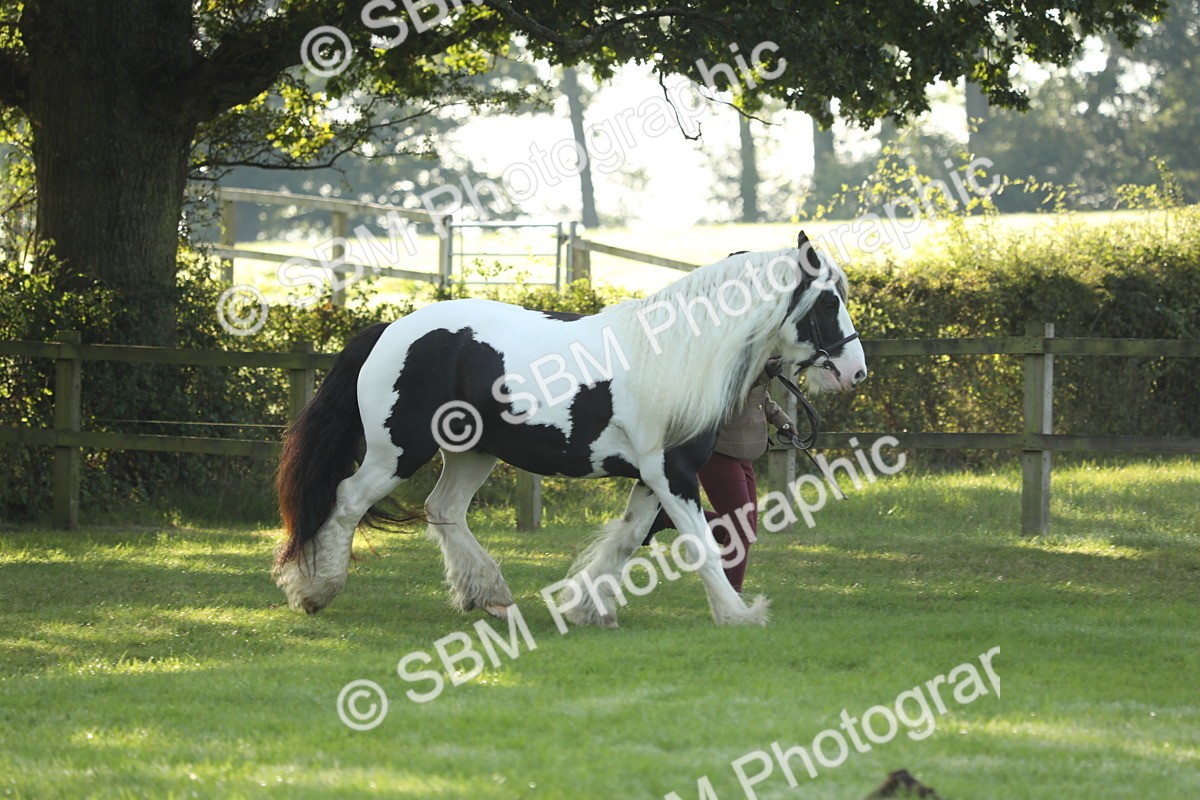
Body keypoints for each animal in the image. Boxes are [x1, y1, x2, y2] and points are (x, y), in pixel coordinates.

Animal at [273, 231, 867, 627]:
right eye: (828, 300)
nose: (855, 371)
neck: (678, 353)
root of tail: (390, 329)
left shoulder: (651, 478)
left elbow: (625, 540)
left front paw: (586, 607)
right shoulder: (671, 472)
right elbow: (699, 543)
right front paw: (738, 613)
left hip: (473, 452)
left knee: (444, 510)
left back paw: (490, 596)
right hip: (396, 452)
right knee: (346, 500)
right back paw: (316, 592)